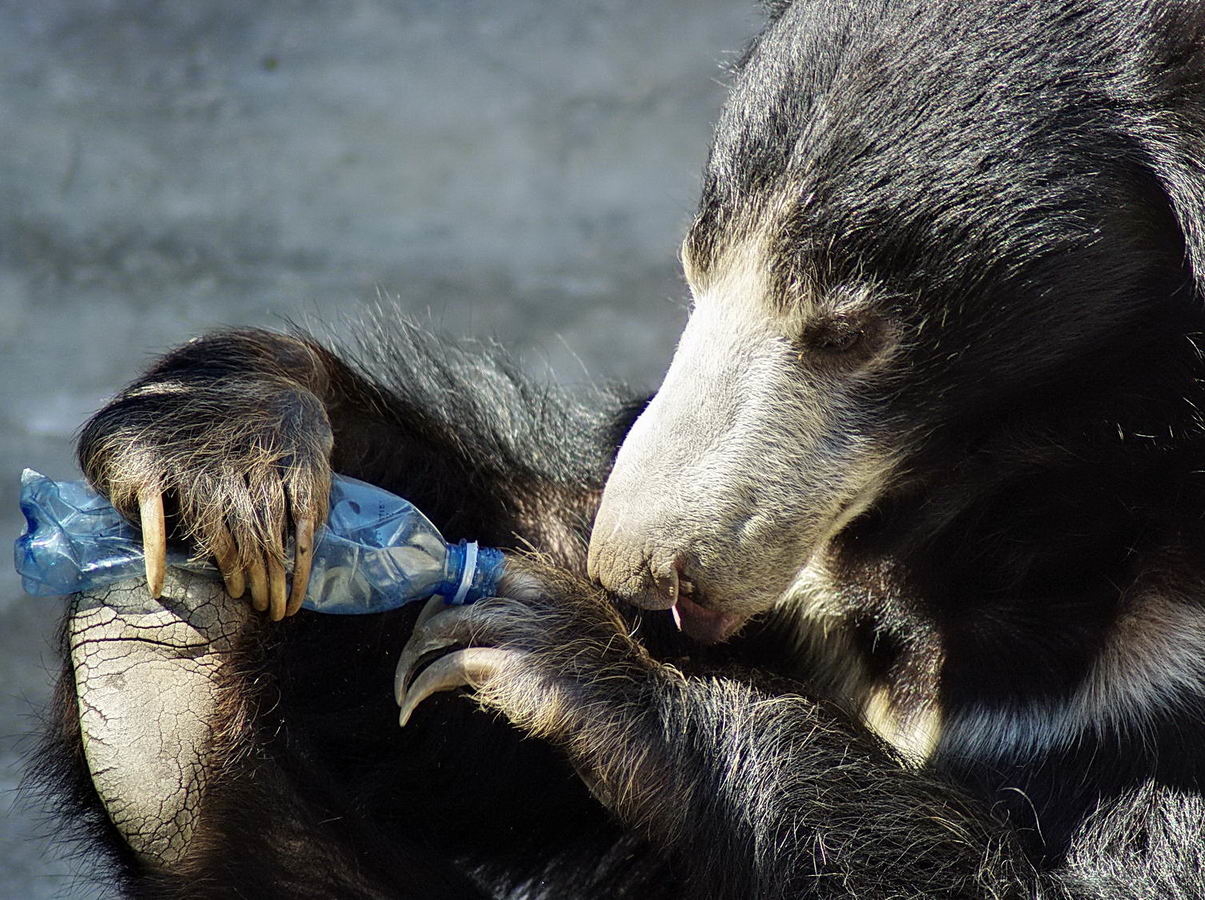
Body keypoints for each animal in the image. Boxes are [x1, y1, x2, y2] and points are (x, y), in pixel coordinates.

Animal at [32, 0, 1205, 896]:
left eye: (848, 331)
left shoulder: (1156, 680)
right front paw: (230, 451)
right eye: (696, 268)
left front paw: (556, 648)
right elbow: (444, 749)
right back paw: (152, 680)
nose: (636, 567)